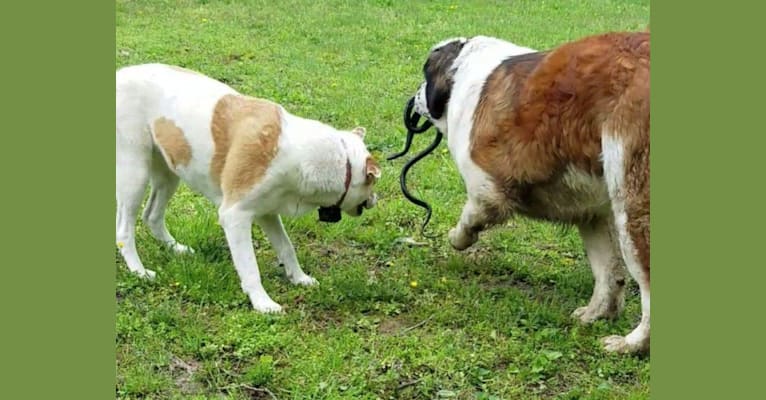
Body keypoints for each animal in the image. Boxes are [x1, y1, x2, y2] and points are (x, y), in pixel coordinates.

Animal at [116, 63, 380, 312]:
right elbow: (250, 267)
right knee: (124, 231)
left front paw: (299, 278)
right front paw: (262, 303)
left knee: (152, 216)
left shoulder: (267, 212)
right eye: (372, 182)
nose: (375, 199)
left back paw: (176, 248)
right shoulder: (235, 216)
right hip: (135, 174)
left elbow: (286, 247)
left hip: (170, 170)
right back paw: (139, 271)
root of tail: (120, 74)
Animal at [412, 33, 652, 354]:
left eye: (425, 74)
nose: (415, 95)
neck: (463, 69)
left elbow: (471, 216)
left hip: (633, 206)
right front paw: (597, 313)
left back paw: (631, 344)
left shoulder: (484, 184)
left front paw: (458, 237)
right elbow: (608, 270)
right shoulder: (592, 213)